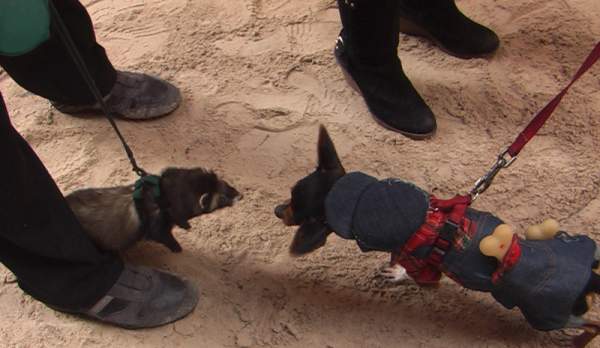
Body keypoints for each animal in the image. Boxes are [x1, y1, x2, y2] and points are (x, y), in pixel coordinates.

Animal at [67, 167, 240, 251]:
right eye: (222, 197)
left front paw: (185, 225)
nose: (239, 194)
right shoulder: (158, 220)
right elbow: (160, 235)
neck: (160, 197)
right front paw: (176, 247)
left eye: (227, 183)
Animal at [278, 126, 600, 346]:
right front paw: (394, 270)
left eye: (296, 209)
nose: (276, 209)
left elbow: (416, 274)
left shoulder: (426, 273)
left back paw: (578, 341)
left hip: (546, 314)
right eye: (290, 195)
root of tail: (589, 278)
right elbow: (399, 262)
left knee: (593, 324)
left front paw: (399, 275)